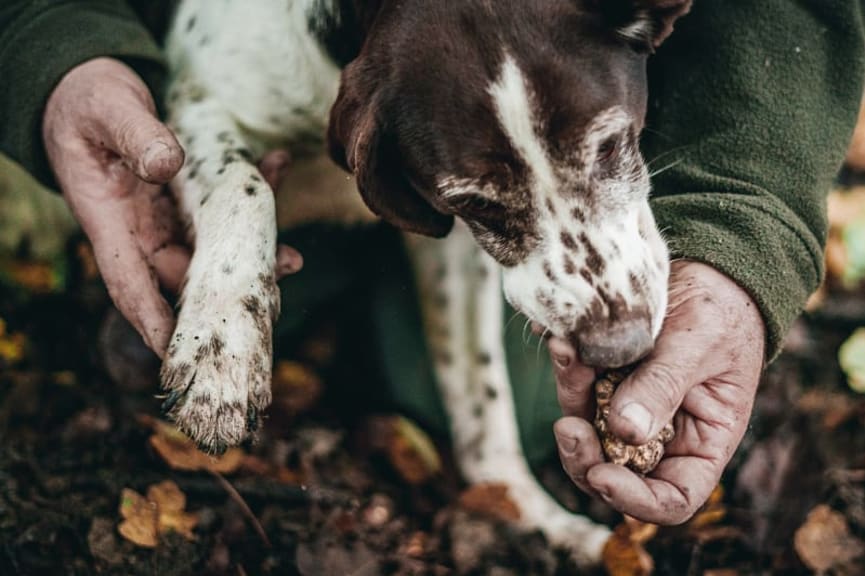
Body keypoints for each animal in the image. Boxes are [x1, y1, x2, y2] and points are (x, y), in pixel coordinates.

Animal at [160, 0, 688, 564]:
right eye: (475, 202)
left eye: (609, 145)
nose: (619, 346)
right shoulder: (198, 105)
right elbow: (244, 184)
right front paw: (221, 351)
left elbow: (481, 394)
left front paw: (527, 513)